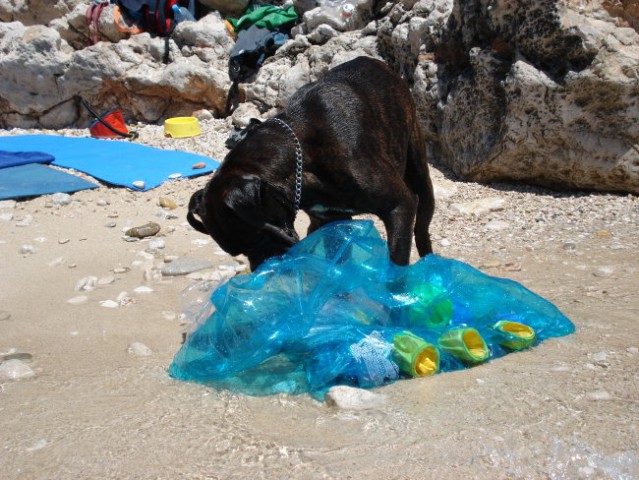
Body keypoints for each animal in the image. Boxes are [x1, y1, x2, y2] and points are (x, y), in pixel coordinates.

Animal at [185, 56, 436, 270]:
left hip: (419, 174)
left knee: (422, 228)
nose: (259, 266)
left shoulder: (399, 206)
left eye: (256, 237)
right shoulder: (329, 222)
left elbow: (395, 271)